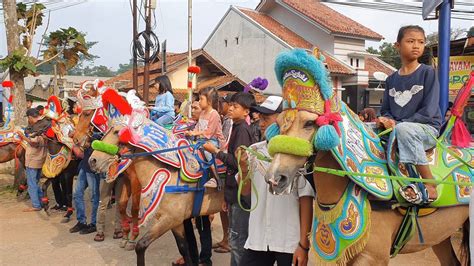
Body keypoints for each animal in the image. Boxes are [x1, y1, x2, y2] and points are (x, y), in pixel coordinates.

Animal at [89, 88, 228, 264]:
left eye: (116, 131)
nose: (92, 160)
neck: (170, 172)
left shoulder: (170, 219)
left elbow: (140, 245)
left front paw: (131, 240)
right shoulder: (175, 222)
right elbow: (184, 248)